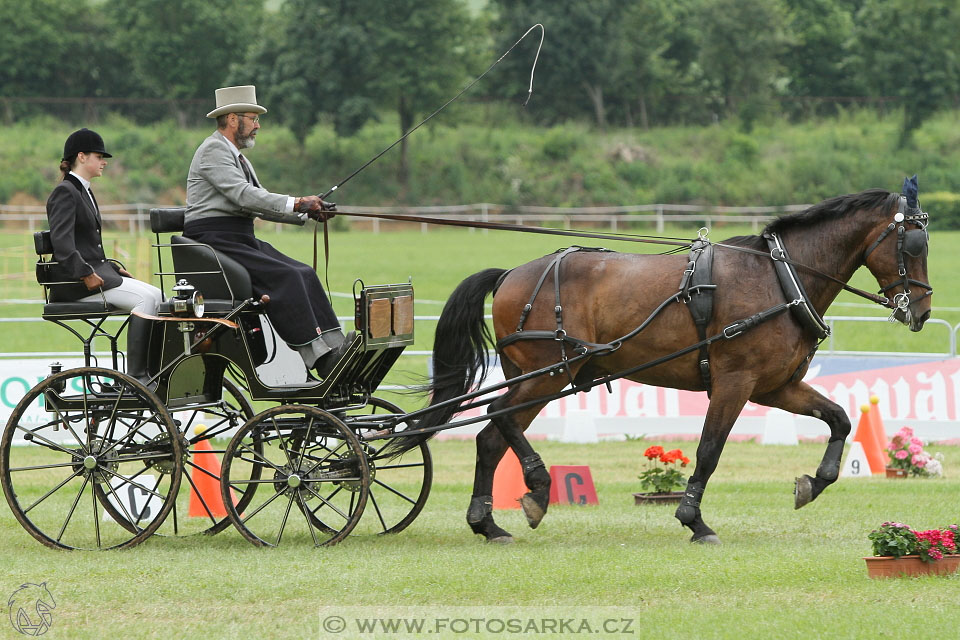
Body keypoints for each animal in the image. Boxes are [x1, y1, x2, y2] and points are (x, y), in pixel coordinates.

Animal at [390, 182, 928, 544]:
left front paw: (813, 483)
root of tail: (510, 275)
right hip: (551, 374)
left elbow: (839, 419)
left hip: (541, 376)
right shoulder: (734, 382)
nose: (920, 311)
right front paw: (695, 519)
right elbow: (709, 450)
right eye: (914, 245)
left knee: (490, 437)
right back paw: (539, 487)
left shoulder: (776, 386)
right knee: (498, 418)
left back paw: (488, 523)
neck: (779, 279)